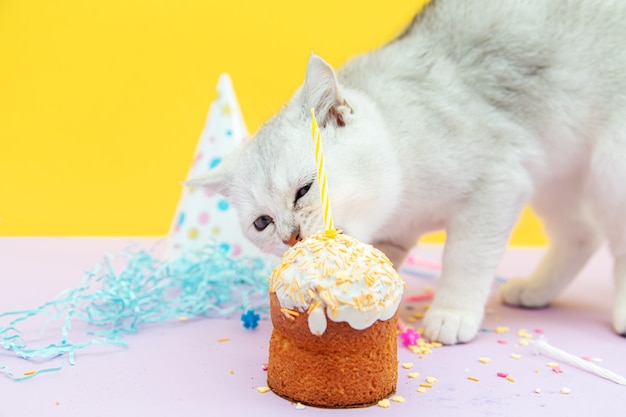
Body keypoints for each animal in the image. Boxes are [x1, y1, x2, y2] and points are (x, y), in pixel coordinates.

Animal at [188, 0, 624, 344]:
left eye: (304, 190)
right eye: (262, 223)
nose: (290, 237)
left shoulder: (498, 182)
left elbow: (466, 256)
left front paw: (452, 313)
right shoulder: (393, 234)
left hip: (609, 166)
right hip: (555, 174)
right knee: (582, 235)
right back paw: (536, 290)